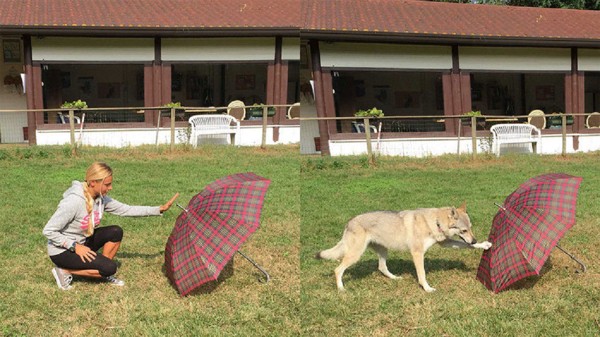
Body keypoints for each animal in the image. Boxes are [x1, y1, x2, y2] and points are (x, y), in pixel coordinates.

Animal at [316, 203, 490, 290]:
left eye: (471, 228)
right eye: (464, 230)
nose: (473, 239)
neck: (435, 222)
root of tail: (349, 222)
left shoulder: (445, 242)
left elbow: (466, 246)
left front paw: (484, 244)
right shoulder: (417, 254)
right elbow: (422, 274)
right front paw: (427, 289)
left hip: (383, 251)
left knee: (382, 268)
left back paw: (395, 278)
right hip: (355, 255)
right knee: (337, 270)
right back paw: (341, 289)